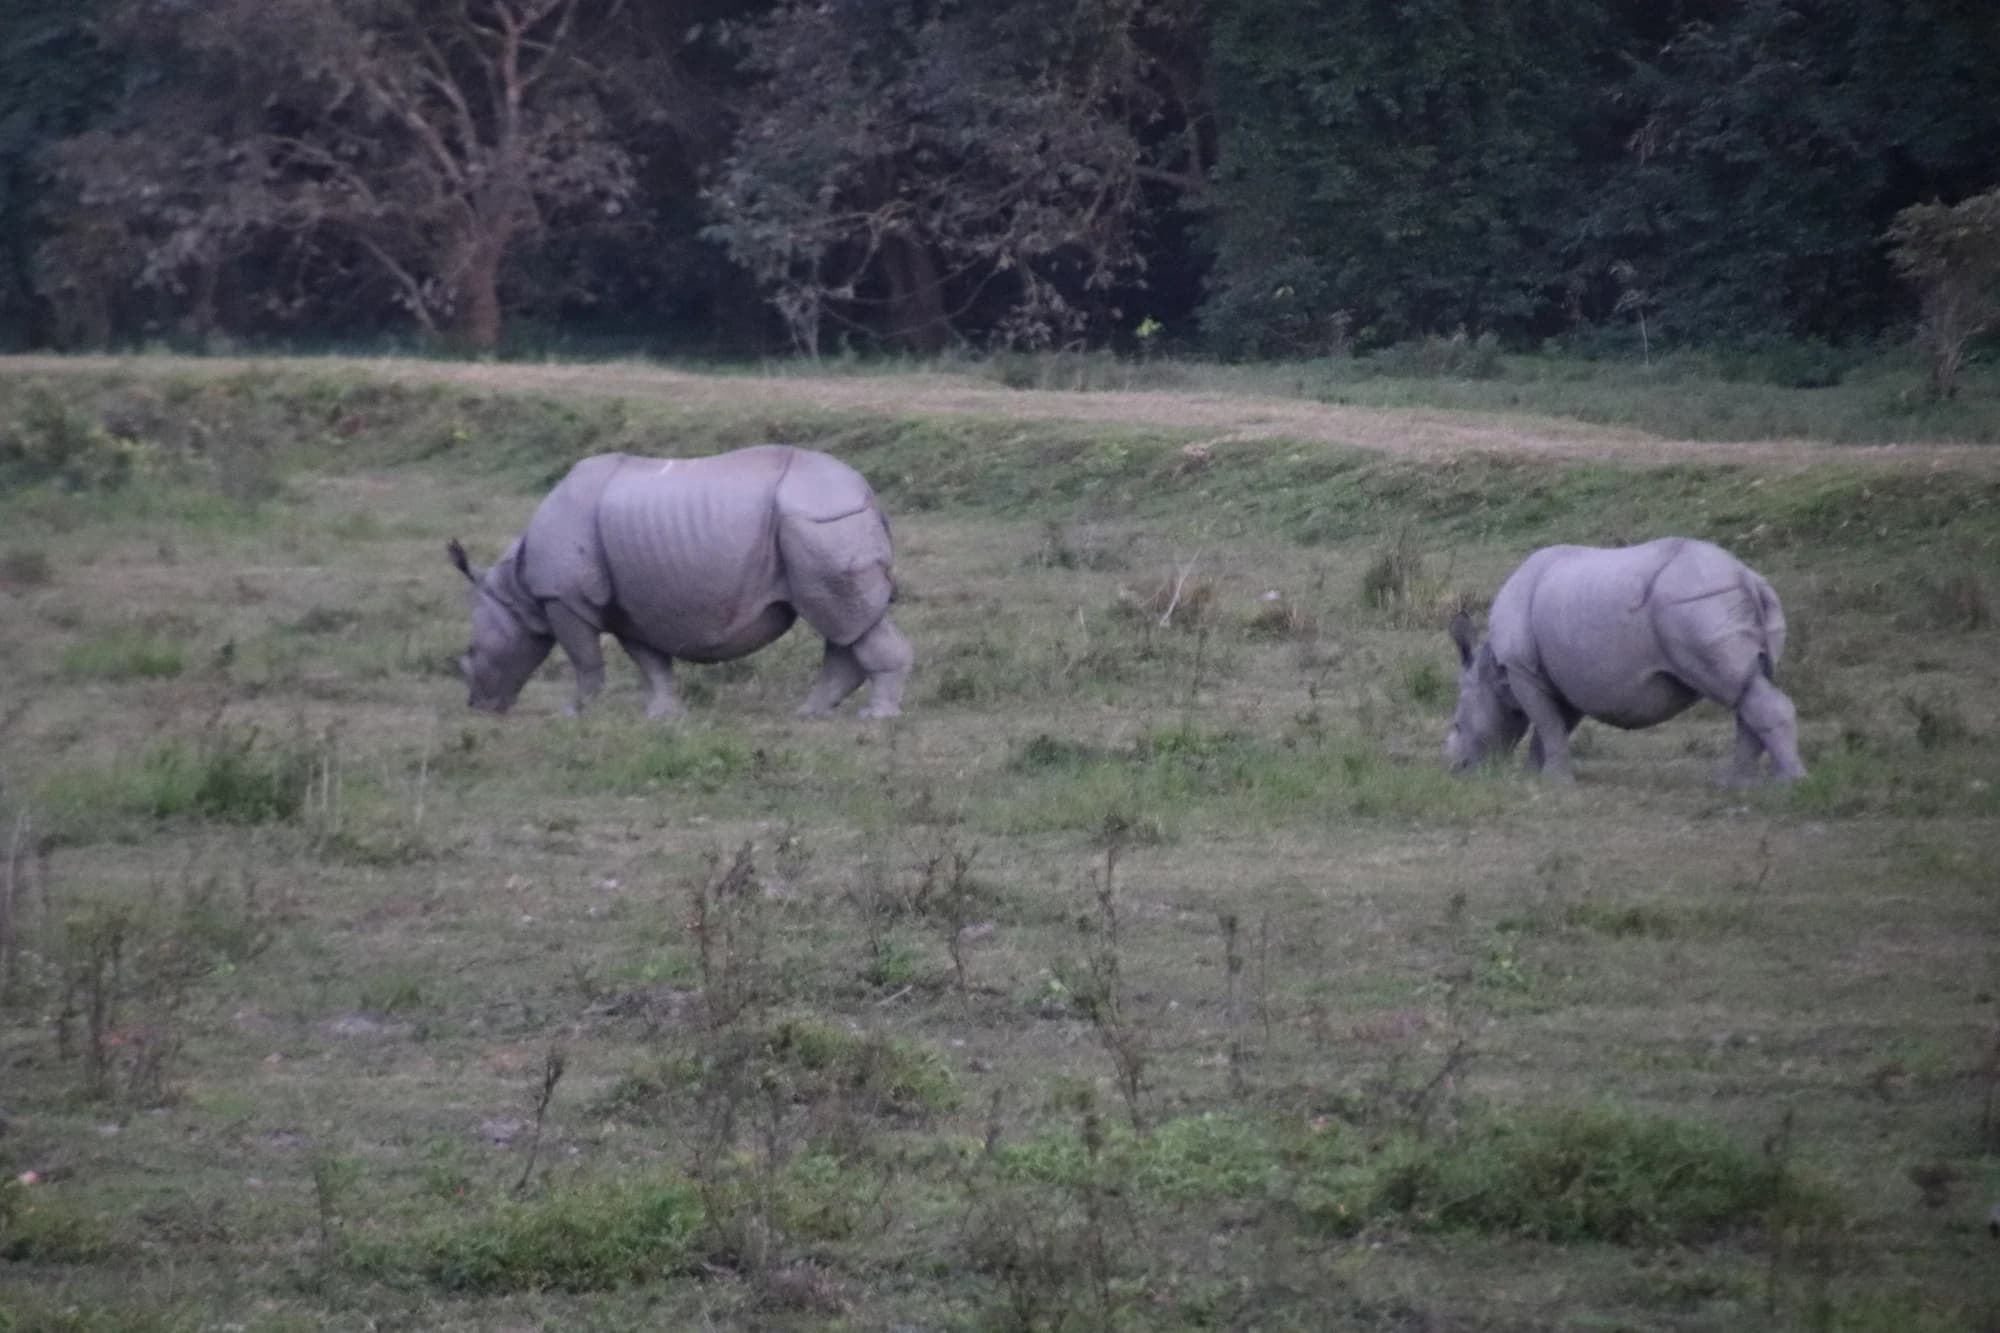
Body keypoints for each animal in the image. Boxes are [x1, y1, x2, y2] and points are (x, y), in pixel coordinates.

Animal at [447, 446, 911, 719]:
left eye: (469, 654)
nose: (478, 706)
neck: (516, 591)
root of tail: (866, 492)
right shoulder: (629, 607)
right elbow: (650, 662)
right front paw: (662, 716)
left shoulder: (562, 597)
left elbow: (586, 660)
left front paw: (574, 713)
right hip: (826, 523)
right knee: (846, 624)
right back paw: (810, 713)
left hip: (821, 521)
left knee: (843, 619)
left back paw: (875, 719)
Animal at [1443, 537, 1804, 784]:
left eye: (1457, 724)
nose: (1456, 767)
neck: (1492, 673)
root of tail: (1747, 578)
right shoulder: (1566, 678)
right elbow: (1553, 727)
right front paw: (1538, 774)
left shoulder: (1523, 670)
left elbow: (1547, 723)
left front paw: (1552, 781)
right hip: (1728, 600)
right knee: (1747, 692)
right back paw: (1736, 785)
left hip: (1698, 603)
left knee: (1739, 690)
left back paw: (1787, 785)